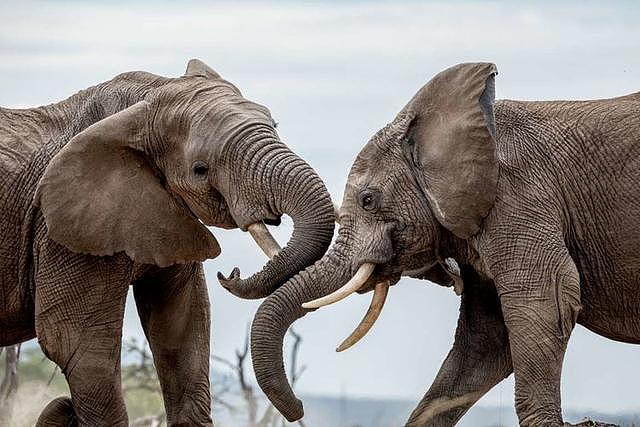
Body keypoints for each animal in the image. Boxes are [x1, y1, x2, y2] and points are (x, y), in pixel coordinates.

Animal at [0, 58, 338, 426]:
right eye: (200, 169)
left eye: (274, 125)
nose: (230, 275)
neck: (146, 98)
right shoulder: (61, 230)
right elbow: (80, 346)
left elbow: (182, 330)